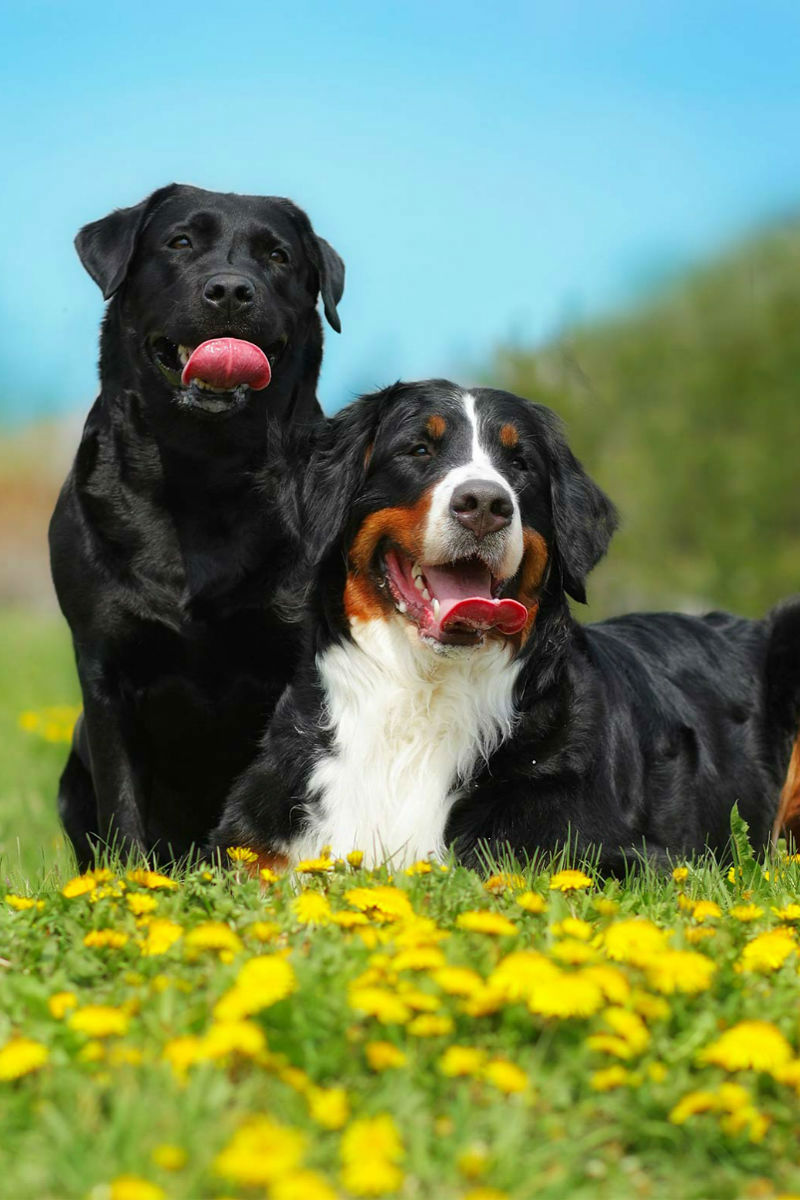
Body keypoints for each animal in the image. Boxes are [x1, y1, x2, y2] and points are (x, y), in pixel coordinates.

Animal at [50, 182, 345, 868]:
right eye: (180, 242)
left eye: (277, 256)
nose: (232, 289)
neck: (202, 470)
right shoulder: (104, 671)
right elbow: (122, 802)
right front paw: (131, 881)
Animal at [211, 379, 800, 878]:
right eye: (418, 450)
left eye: (520, 464)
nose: (484, 504)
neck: (422, 697)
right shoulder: (251, 843)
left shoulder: (611, 855)